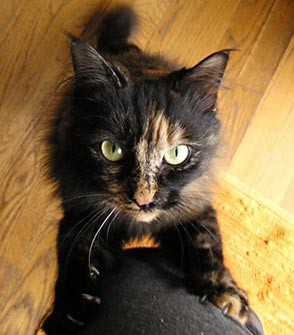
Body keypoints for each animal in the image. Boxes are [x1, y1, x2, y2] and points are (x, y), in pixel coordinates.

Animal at [43, 5, 249, 335]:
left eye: (177, 154)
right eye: (111, 150)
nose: (143, 199)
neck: (138, 225)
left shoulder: (194, 204)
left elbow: (207, 243)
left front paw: (226, 294)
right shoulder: (82, 211)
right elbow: (73, 252)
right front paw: (68, 311)